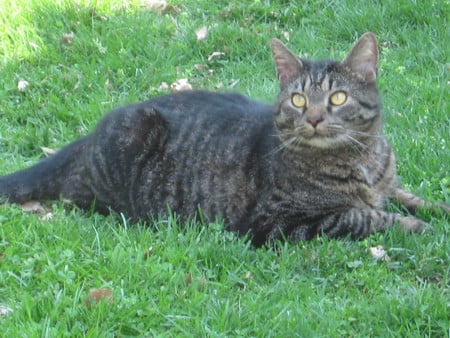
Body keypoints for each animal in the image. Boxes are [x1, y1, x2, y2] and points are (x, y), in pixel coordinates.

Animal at [0, 32, 446, 246]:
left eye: (338, 97)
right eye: (299, 99)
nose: (316, 118)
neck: (361, 161)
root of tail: (92, 132)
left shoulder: (388, 184)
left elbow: (408, 195)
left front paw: (436, 208)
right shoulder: (277, 222)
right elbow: (363, 215)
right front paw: (415, 226)